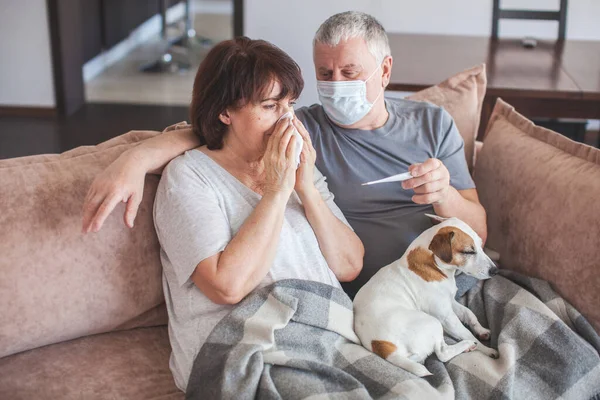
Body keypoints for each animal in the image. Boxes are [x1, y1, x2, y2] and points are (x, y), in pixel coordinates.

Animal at [354, 214, 500, 376]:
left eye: (481, 245)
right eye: (468, 251)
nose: (495, 271)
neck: (433, 265)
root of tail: (381, 345)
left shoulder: (450, 303)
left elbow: (469, 314)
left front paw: (481, 330)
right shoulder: (446, 317)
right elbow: (466, 333)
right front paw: (486, 349)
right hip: (433, 323)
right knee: (442, 353)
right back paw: (467, 345)